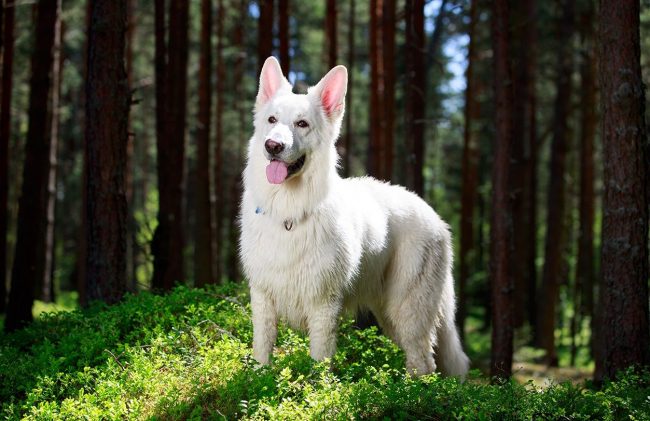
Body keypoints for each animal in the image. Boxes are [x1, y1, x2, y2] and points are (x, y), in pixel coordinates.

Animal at [238, 56, 466, 378]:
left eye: (302, 124)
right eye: (272, 120)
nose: (273, 146)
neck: (289, 212)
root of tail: (434, 215)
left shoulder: (324, 305)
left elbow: (319, 362)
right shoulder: (262, 298)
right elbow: (261, 351)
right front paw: (258, 380)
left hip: (408, 312)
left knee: (424, 363)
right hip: (389, 315)